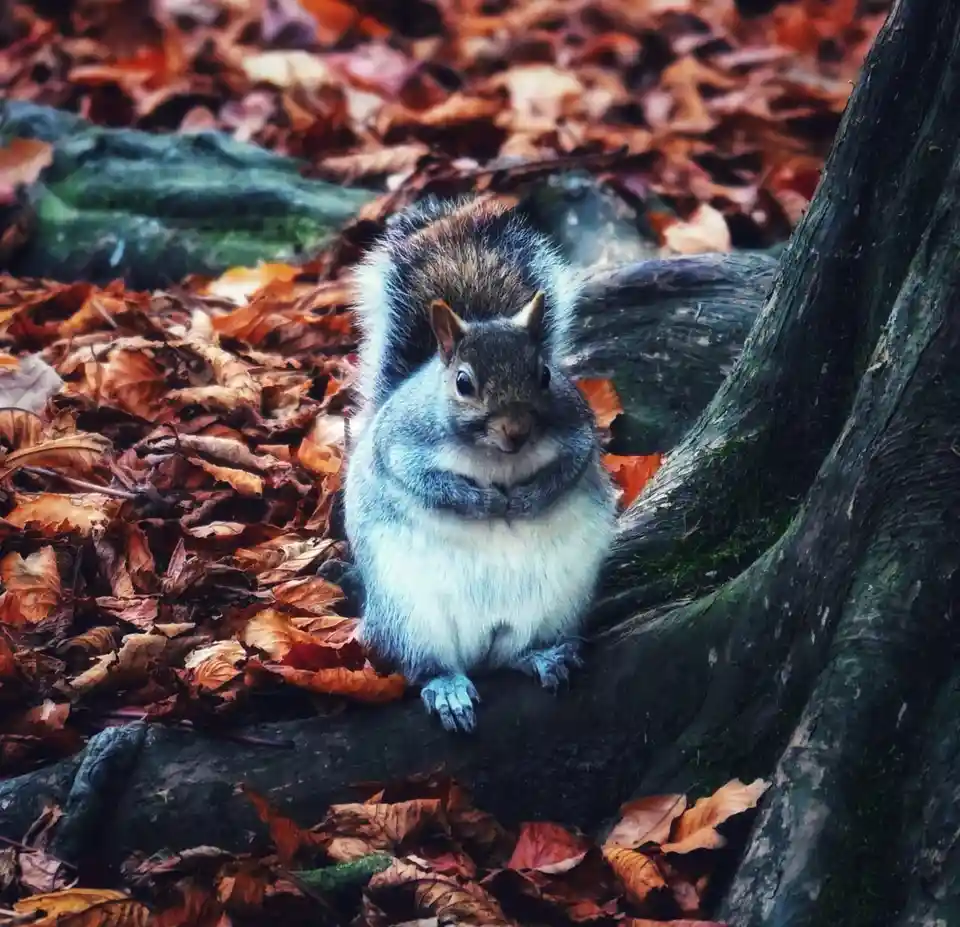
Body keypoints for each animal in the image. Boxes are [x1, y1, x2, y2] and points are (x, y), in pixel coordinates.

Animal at [343, 196, 618, 733]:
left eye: (545, 374)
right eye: (463, 383)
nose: (515, 431)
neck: (497, 458)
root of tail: (483, 644)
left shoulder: (578, 428)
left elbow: (572, 466)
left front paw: (529, 498)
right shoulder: (400, 443)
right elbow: (423, 481)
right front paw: (483, 502)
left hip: (557, 606)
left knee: (513, 653)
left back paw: (542, 656)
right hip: (412, 615)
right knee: (426, 663)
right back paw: (447, 687)